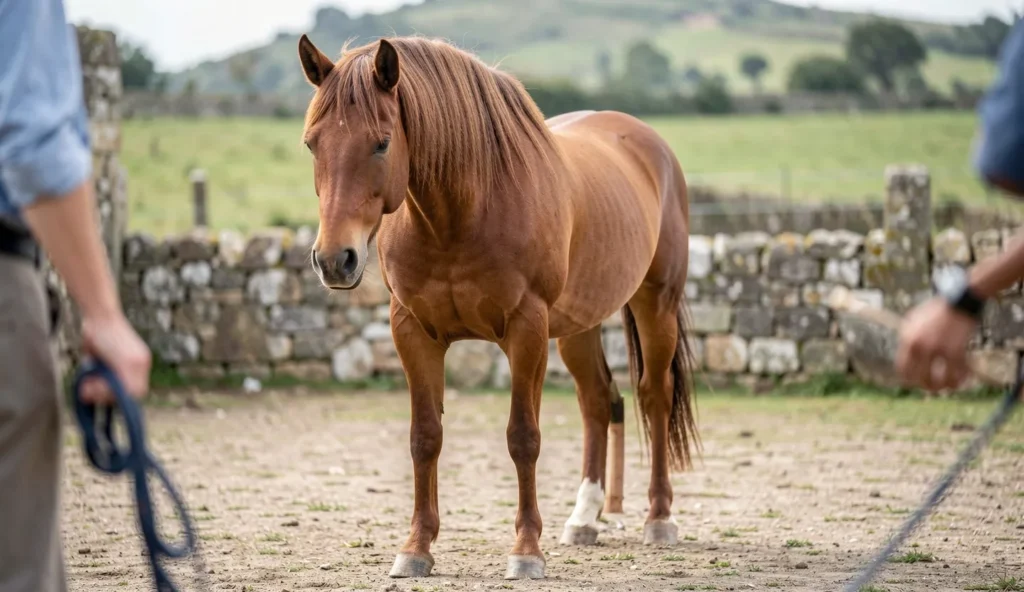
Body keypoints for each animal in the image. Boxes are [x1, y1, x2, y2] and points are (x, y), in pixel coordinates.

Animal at [296, 34, 699, 580]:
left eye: (381, 142)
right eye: (312, 143)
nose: (334, 260)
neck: (459, 214)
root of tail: (650, 145)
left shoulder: (526, 329)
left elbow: (522, 437)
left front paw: (526, 550)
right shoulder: (412, 331)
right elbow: (425, 437)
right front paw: (416, 547)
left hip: (655, 304)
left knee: (654, 397)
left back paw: (659, 518)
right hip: (578, 326)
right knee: (598, 401)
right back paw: (585, 518)